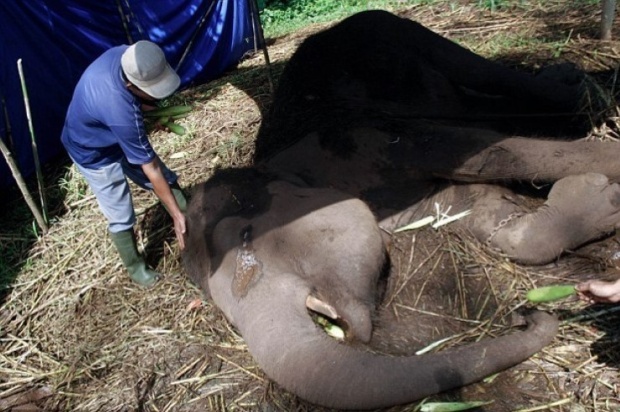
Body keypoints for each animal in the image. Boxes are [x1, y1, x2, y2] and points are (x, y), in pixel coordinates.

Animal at [182, 8, 616, 408]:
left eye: (245, 235)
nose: (529, 317)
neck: (279, 162)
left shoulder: (370, 138)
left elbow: (492, 154)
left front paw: (606, 178)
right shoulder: (402, 203)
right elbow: (477, 210)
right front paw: (597, 195)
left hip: (398, 29)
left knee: (483, 72)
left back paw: (574, 86)